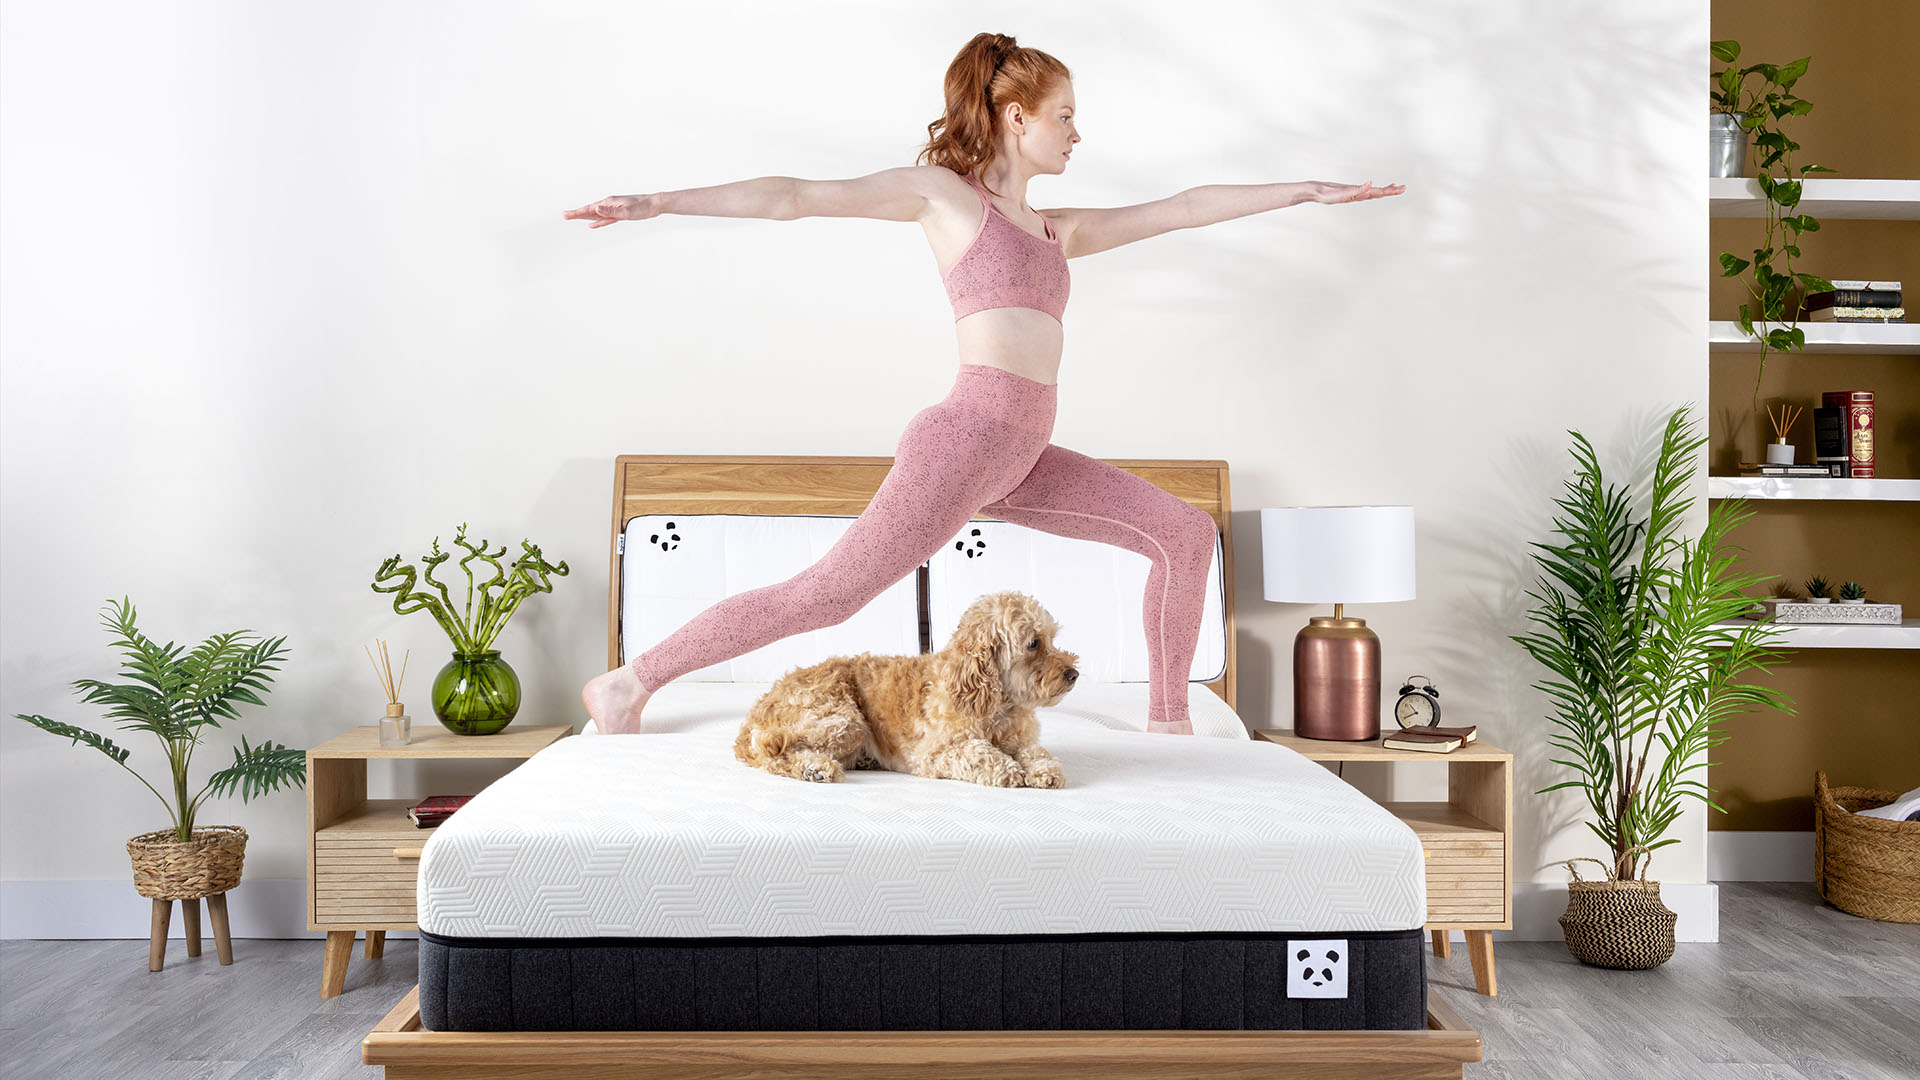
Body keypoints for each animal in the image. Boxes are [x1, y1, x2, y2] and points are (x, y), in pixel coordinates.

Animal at [734, 590, 1079, 788]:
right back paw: (815, 769)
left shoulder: (1021, 740)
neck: (996, 704)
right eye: (1033, 643)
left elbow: (1037, 752)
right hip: (844, 720)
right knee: (773, 754)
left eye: (1052, 638)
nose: (1073, 673)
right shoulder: (933, 755)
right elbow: (978, 753)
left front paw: (1044, 770)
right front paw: (1009, 770)